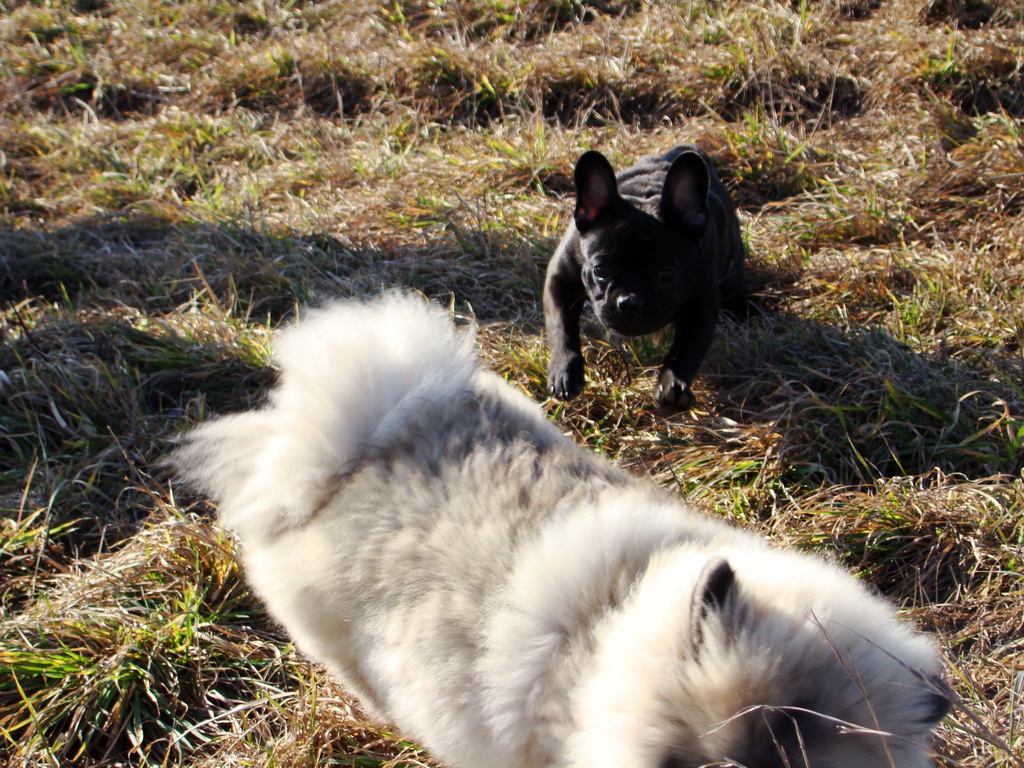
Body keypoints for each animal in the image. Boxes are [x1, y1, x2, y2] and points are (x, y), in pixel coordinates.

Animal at [544, 143, 745, 409]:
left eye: (666, 275)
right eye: (600, 271)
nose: (629, 302)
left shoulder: (702, 307)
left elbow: (687, 349)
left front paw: (673, 386)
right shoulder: (560, 281)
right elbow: (561, 327)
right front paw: (564, 372)